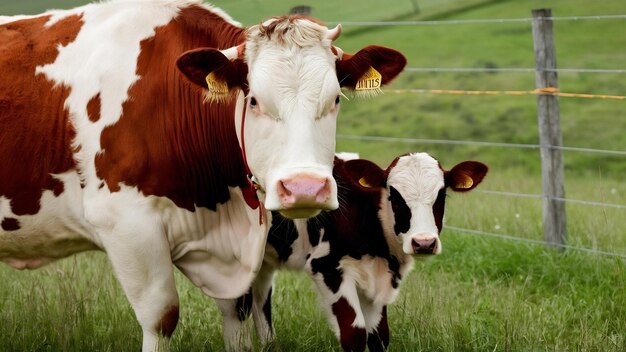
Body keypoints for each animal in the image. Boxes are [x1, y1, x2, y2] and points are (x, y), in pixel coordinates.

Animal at [0, 0, 404, 350]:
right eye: (254, 100)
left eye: (335, 99)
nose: (304, 188)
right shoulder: (125, 224)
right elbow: (161, 316)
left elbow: (238, 310)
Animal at [216, 153, 488, 352]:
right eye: (394, 196)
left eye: (441, 195)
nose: (423, 243)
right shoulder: (326, 267)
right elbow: (354, 334)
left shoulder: (379, 275)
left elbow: (379, 336)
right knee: (237, 307)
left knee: (260, 300)